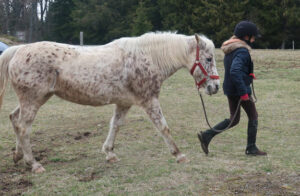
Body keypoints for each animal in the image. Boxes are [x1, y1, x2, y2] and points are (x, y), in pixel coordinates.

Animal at [0, 31, 220, 173]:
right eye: (209, 59)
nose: (215, 87)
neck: (147, 58)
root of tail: (18, 50)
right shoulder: (149, 100)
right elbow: (163, 127)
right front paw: (179, 154)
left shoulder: (124, 103)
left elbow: (115, 125)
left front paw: (109, 153)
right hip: (33, 100)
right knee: (24, 127)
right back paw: (34, 164)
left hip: (37, 99)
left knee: (14, 119)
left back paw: (19, 156)